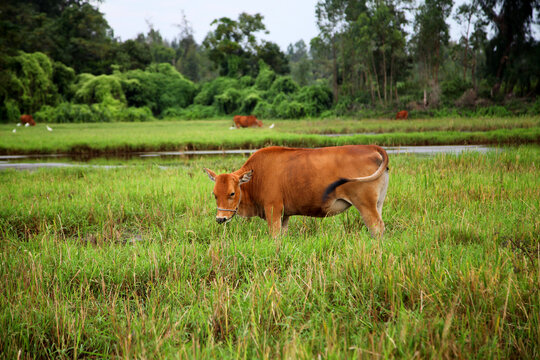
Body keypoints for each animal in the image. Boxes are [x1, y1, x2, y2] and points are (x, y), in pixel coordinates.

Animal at [202, 145, 388, 238]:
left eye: (232, 193)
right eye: (214, 195)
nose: (220, 218)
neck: (256, 177)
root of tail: (371, 147)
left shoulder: (273, 209)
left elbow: (274, 236)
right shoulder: (284, 215)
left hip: (365, 204)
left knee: (376, 228)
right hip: (377, 204)